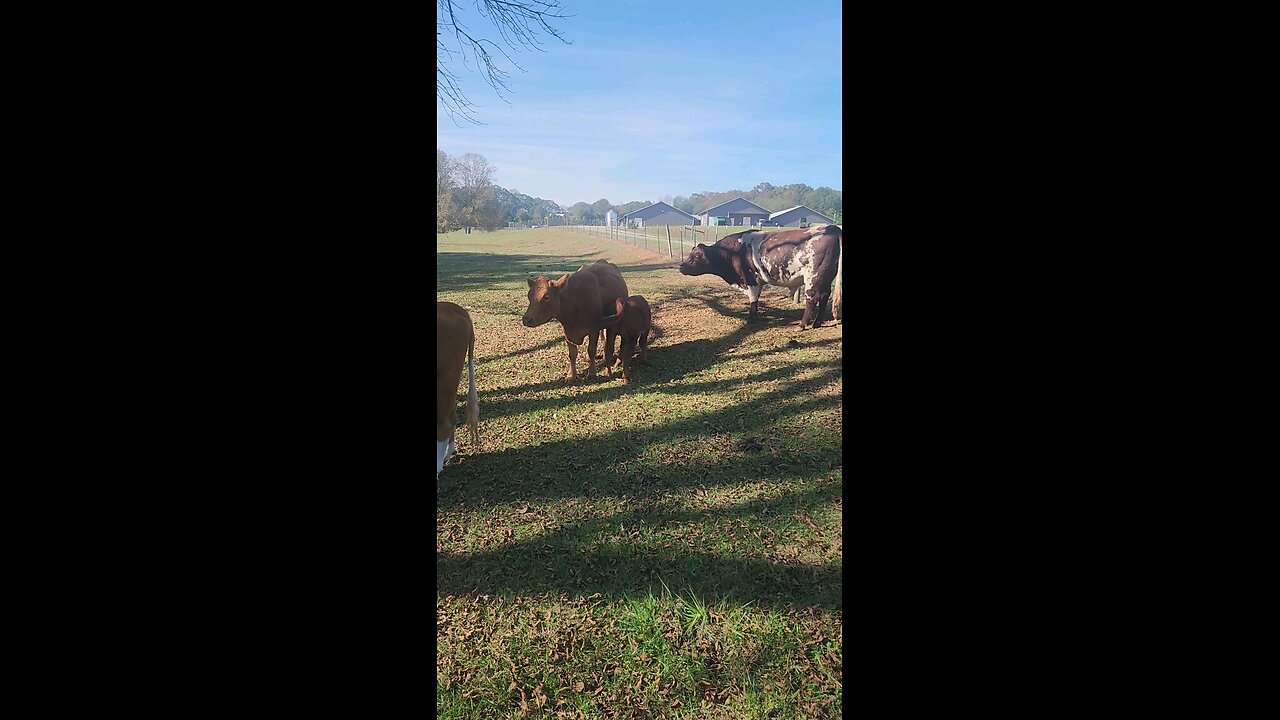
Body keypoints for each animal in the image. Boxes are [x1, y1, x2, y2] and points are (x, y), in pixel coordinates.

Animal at [679, 224, 842, 330]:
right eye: (690, 255)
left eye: (696, 258)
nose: (681, 266)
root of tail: (832, 227)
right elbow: (756, 300)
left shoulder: (750, 280)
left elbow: (753, 299)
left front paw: (751, 318)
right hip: (826, 277)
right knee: (824, 296)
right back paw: (817, 323)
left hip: (813, 277)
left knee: (812, 299)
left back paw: (802, 325)